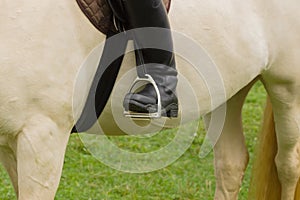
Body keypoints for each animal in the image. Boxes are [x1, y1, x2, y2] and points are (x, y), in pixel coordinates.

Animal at [0, 0, 300, 200]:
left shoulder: (43, 135)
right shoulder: (11, 141)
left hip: (288, 90)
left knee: (288, 166)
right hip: (228, 91)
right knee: (230, 163)